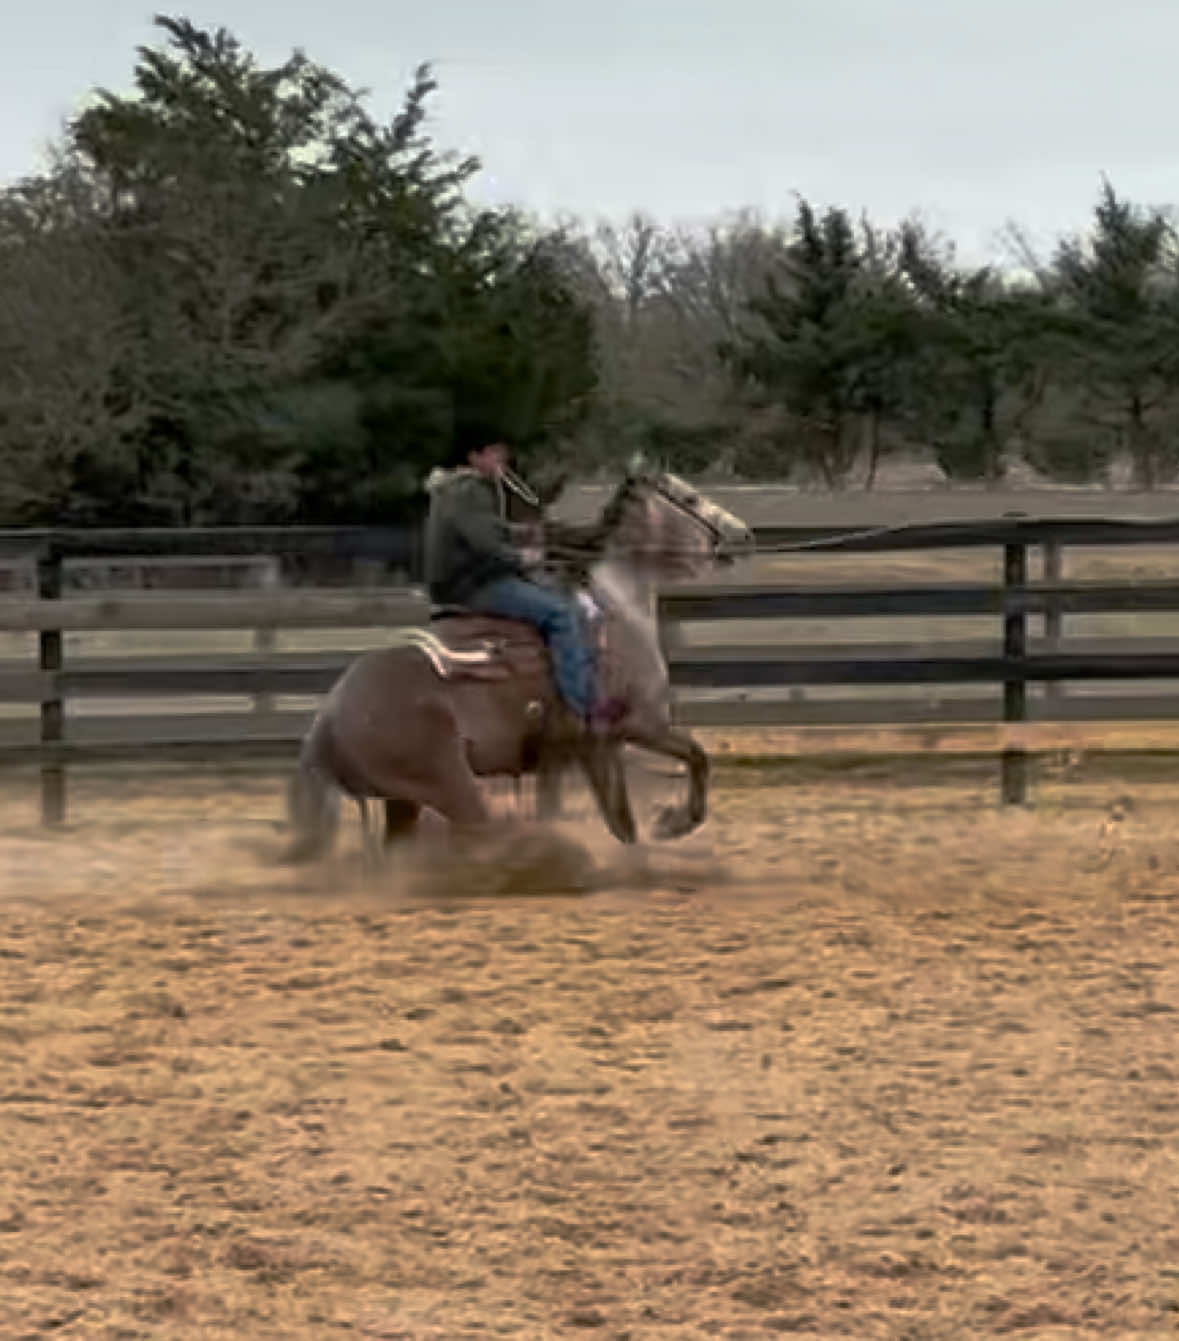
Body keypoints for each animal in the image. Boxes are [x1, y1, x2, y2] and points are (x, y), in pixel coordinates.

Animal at [282, 465, 753, 862]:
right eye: (689, 498)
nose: (744, 534)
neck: (616, 610)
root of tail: (327, 720)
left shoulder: (589, 750)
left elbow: (625, 815)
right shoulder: (636, 726)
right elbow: (692, 764)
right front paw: (672, 824)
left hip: (404, 800)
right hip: (449, 784)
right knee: (478, 831)